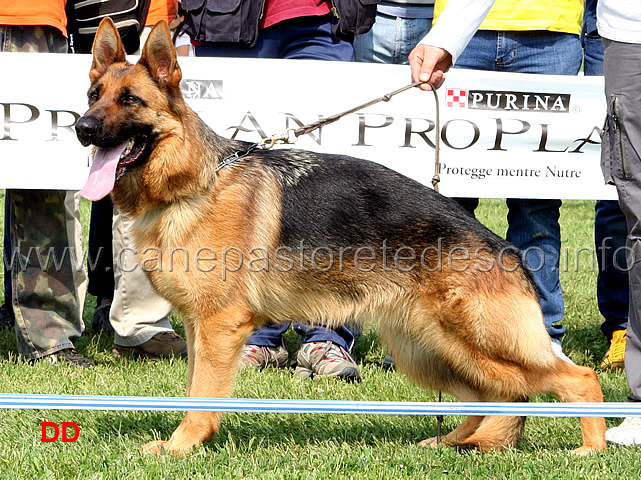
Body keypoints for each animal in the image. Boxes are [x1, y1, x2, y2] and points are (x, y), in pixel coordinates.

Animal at [75, 17, 604, 454]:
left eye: (130, 100)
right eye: (93, 96)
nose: (82, 128)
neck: (195, 182)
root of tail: (505, 250)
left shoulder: (219, 326)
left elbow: (202, 395)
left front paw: (180, 447)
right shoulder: (199, 327)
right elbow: (192, 388)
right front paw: (183, 443)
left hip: (480, 342)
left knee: (575, 378)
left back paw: (591, 448)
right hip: (431, 351)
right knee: (494, 397)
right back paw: (449, 442)